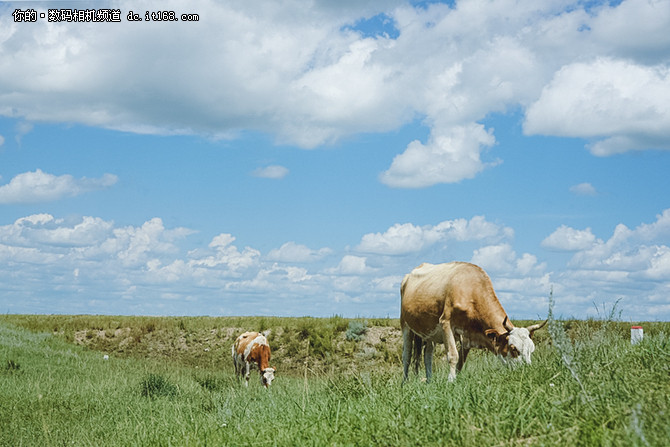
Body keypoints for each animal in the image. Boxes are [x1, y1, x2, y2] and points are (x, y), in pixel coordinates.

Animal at [402, 264, 548, 384]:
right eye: (513, 348)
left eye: (532, 350)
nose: (526, 372)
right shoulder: (446, 324)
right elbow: (453, 356)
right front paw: (450, 381)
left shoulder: (467, 336)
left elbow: (461, 362)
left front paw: (455, 381)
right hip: (406, 326)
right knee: (407, 355)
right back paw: (405, 383)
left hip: (429, 333)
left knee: (427, 356)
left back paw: (429, 382)